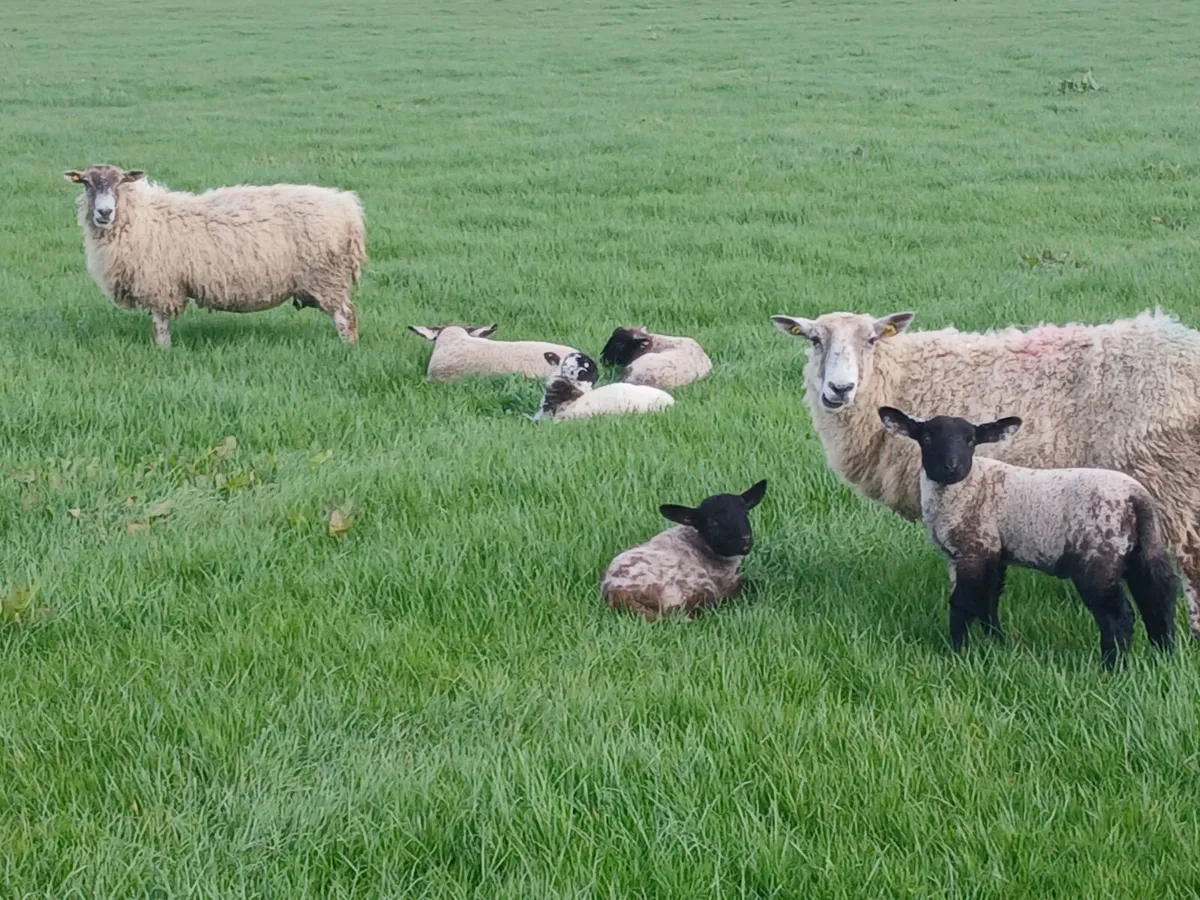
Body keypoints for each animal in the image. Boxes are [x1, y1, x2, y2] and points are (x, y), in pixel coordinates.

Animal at [63, 164, 366, 348]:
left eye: (120, 182)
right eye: (87, 183)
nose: (104, 212)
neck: (140, 216)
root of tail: (348, 208)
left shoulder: (161, 284)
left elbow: (159, 325)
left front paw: (163, 351)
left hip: (326, 277)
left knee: (345, 316)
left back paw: (348, 349)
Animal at [770, 309, 1200, 637]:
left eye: (872, 339)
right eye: (814, 340)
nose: (839, 389)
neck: (897, 377)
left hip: (1169, 479)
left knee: (1190, 560)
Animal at [878, 406, 1178, 667]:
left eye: (971, 440)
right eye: (928, 437)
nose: (952, 467)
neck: (966, 487)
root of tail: (1136, 498)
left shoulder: (974, 548)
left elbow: (963, 603)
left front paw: (957, 650)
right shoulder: (991, 552)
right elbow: (989, 602)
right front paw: (997, 643)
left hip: (1098, 555)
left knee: (1119, 615)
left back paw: (1112, 666)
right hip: (1143, 548)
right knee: (1158, 598)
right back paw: (1163, 654)